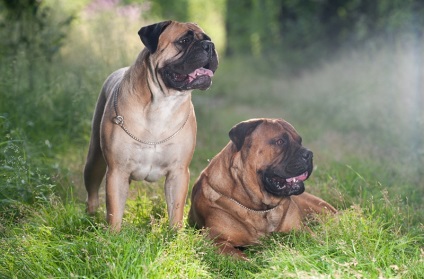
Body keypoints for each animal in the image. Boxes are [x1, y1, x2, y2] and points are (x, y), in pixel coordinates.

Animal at [85, 20, 219, 232]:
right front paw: (113, 235)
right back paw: (90, 216)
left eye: (208, 39)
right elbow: (114, 211)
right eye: (184, 41)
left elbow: (176, 209)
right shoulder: (117, 171)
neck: (162, 103)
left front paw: (175, 234)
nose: (210, 46)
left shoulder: (178, 173)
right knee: (92, 192)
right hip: (94, 160)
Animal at [189, 118, 338, 260]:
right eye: (280, 141)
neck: (261, 208)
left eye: (299, 140)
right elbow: (244, 259)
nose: (309, 154)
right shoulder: (216, 241)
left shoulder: (301, 230)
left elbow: (317, 242)